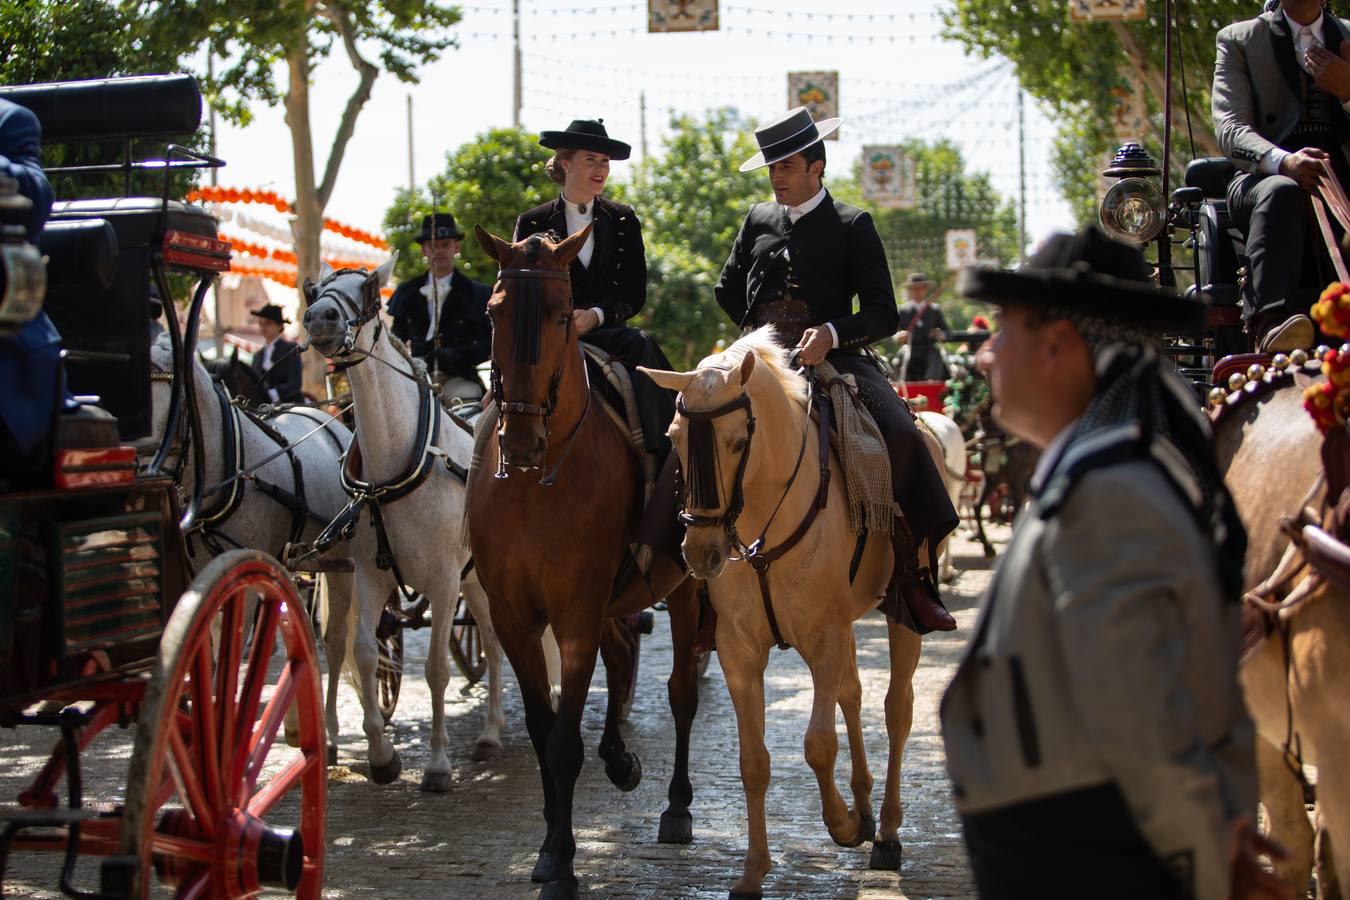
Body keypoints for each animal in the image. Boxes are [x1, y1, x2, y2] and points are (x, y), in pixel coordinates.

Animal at [469, 226, 702, 900]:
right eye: (492, 312)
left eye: (561, 313)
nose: (521, 440)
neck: (535, 482)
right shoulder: (514, 616)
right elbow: (544, 730)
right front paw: (551, 841)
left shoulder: (574, 612)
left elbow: (564, 742)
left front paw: (561, 859)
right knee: (621, 660)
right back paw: (620, 759)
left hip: (682, 588)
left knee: (681, 692)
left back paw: (677, 806)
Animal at [637, 327, 934, 895]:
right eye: (675, 435)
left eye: (737, 442)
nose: (701, 553)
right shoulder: (740, 651)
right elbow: (753, 761)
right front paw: (754, 870)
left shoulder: (823, 639)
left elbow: (818, 744)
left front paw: (842, 825)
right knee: (853, 695)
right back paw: (865, 806)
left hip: (901, 615)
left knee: (897, 709)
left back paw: (885, 832)